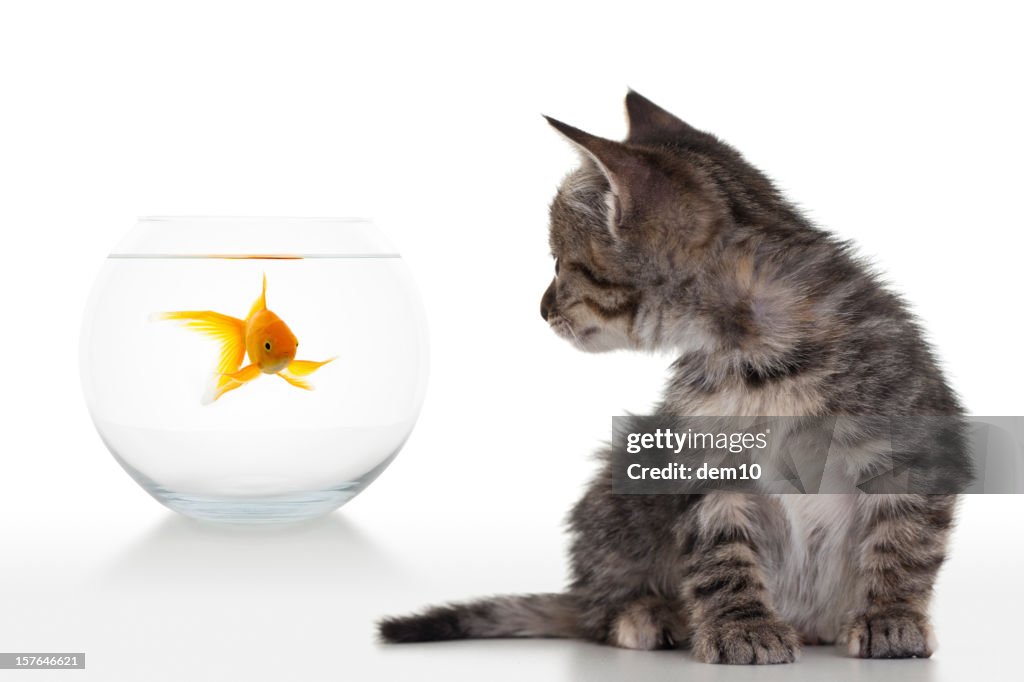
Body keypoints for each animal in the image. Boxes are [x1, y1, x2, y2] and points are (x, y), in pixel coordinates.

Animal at [378, 93, 966, 659]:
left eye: (559, 264)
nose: (541, 309)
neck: (755, 358)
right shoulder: (697, 459)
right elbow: (720, 552)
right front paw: (741, 627)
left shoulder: (912, 441)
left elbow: (905, 543)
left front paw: (891, 618)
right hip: (619, 486)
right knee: (596, 608)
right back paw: (647, 613)